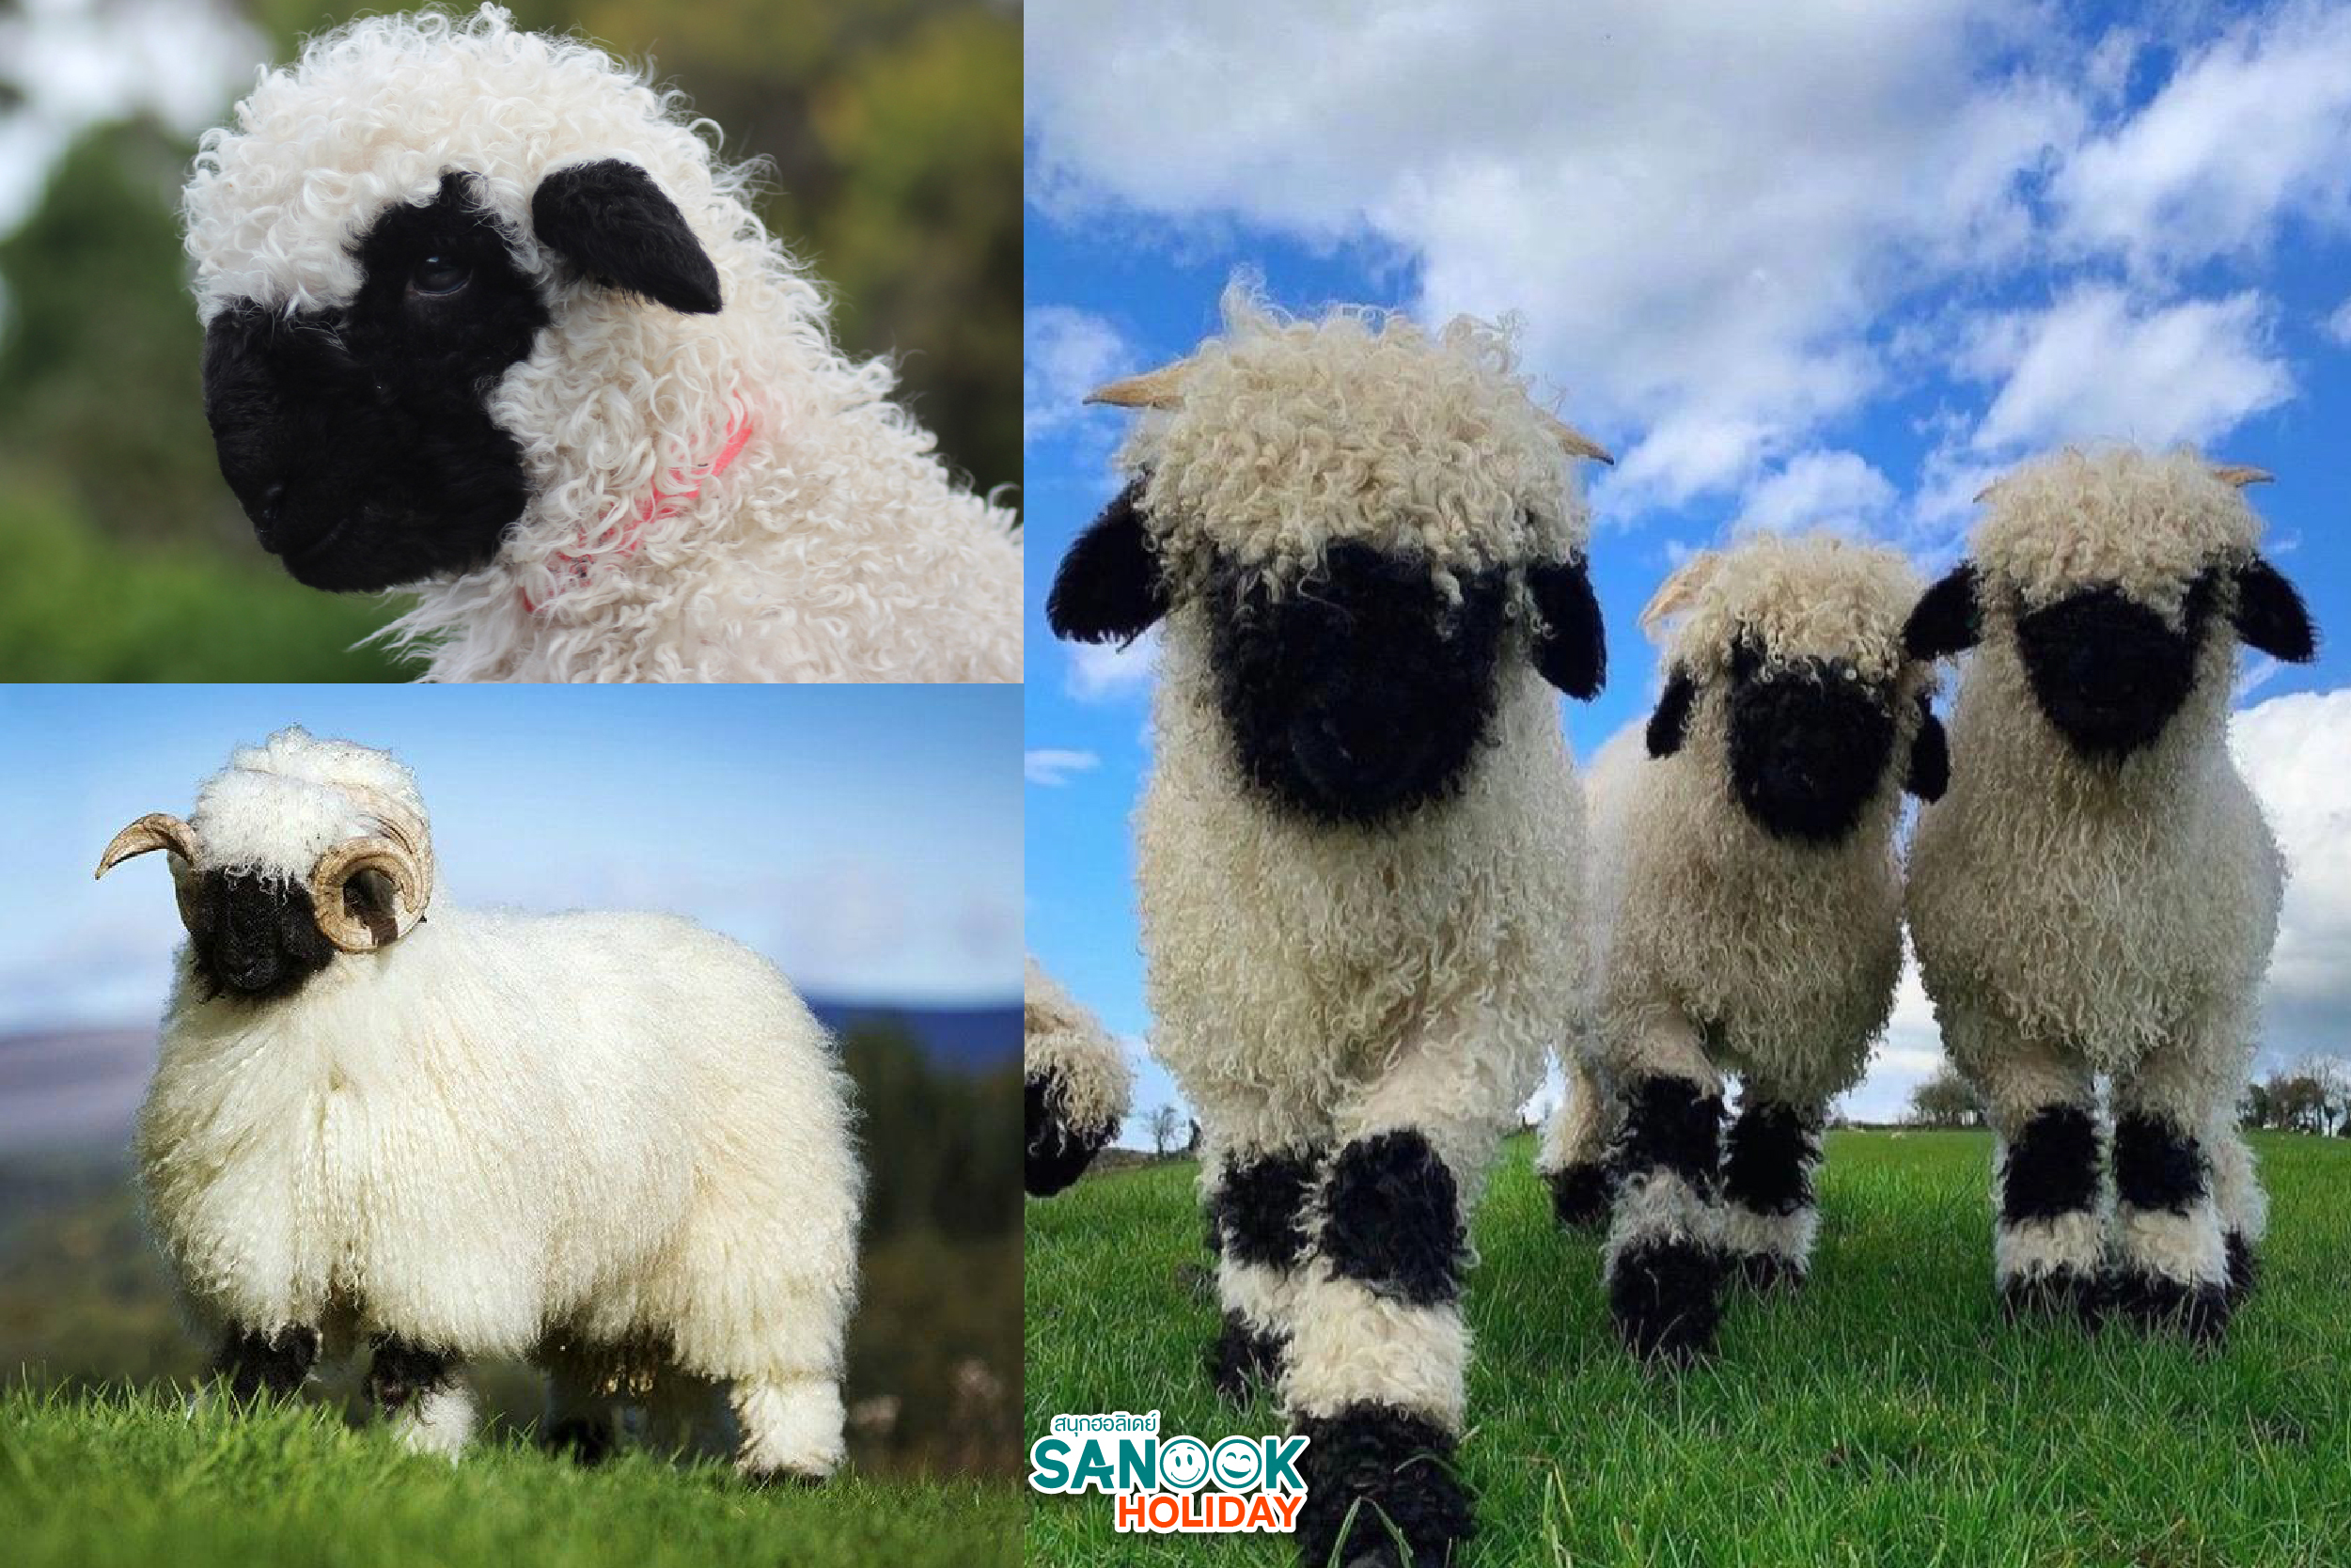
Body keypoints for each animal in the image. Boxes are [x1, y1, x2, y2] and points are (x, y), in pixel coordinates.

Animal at [93, 728, 861, 1477]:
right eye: (219, 884)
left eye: (306, 888)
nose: (241, 965)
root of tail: (740, 958)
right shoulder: (265, 1234)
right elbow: (263, 1354)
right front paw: (233, 1433)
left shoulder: (432, 1245)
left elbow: (412, 1366)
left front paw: (421, 1457)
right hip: (615, 1261)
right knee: (590, 1363)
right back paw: (581, 1453)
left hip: (764, 1231)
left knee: (782, 1363)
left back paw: (787, 1468)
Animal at [1045, 287, 1610, 1568]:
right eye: (1232, 574)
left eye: (1479, 592)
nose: (1362, 733)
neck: (1344, 875)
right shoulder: (1245, 1032)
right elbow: (1263, 1196)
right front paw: (1262, 1357)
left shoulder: (1468, 1015)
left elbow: (1387, 1191)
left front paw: (1377, 1468)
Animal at [1534, 534, 1947, 1361]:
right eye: (1745, 655)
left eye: (1882, 676)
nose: (1806, 768)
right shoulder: (1649, 1009)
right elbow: (1670, 1128)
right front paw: (1664, 1310)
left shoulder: (1804, 1036)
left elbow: (1769, 1147)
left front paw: (1759, 1272)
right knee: (1590, 1100)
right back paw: (1577, 1202)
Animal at [1902, 447, 2316, 1340]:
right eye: (2022, 594)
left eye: (2198, 589)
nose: (2107, 679)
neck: (2095, 858)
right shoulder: (1998, 1021)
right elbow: (2050, 1148)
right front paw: (2052, 1294)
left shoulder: (2194, 1016)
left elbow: (2163, 1149)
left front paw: (2178, 1299)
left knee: (2220, 1143)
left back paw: (2236, 1250)